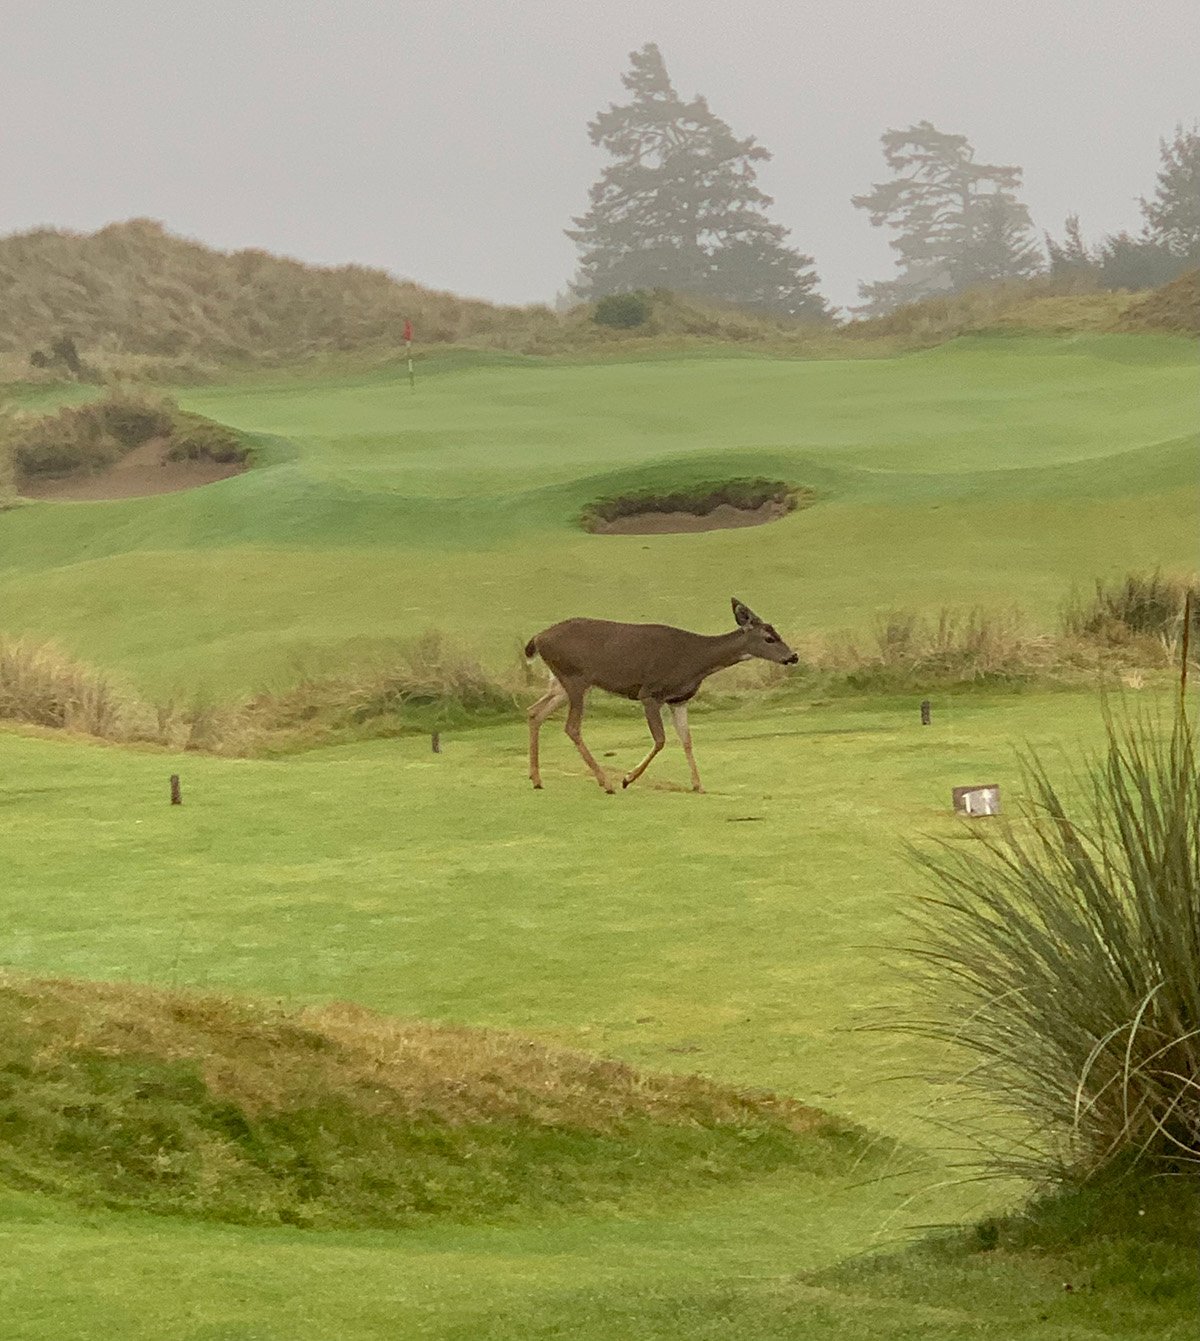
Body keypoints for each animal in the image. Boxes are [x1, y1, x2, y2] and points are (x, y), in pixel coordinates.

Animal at [523, 598, 798, 794]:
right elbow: (660, 739)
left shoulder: (679, 700)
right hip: (575, 678)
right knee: (571, 726)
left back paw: (536, 778)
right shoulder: (650, 693)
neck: (697, 659)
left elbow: (687, 740)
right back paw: (607, 782)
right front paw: (627, 778)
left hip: (562, 682)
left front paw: (698, 785)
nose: (793, 656)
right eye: (769, 638)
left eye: (777, 633)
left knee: (534, 712)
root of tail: (537, 638)